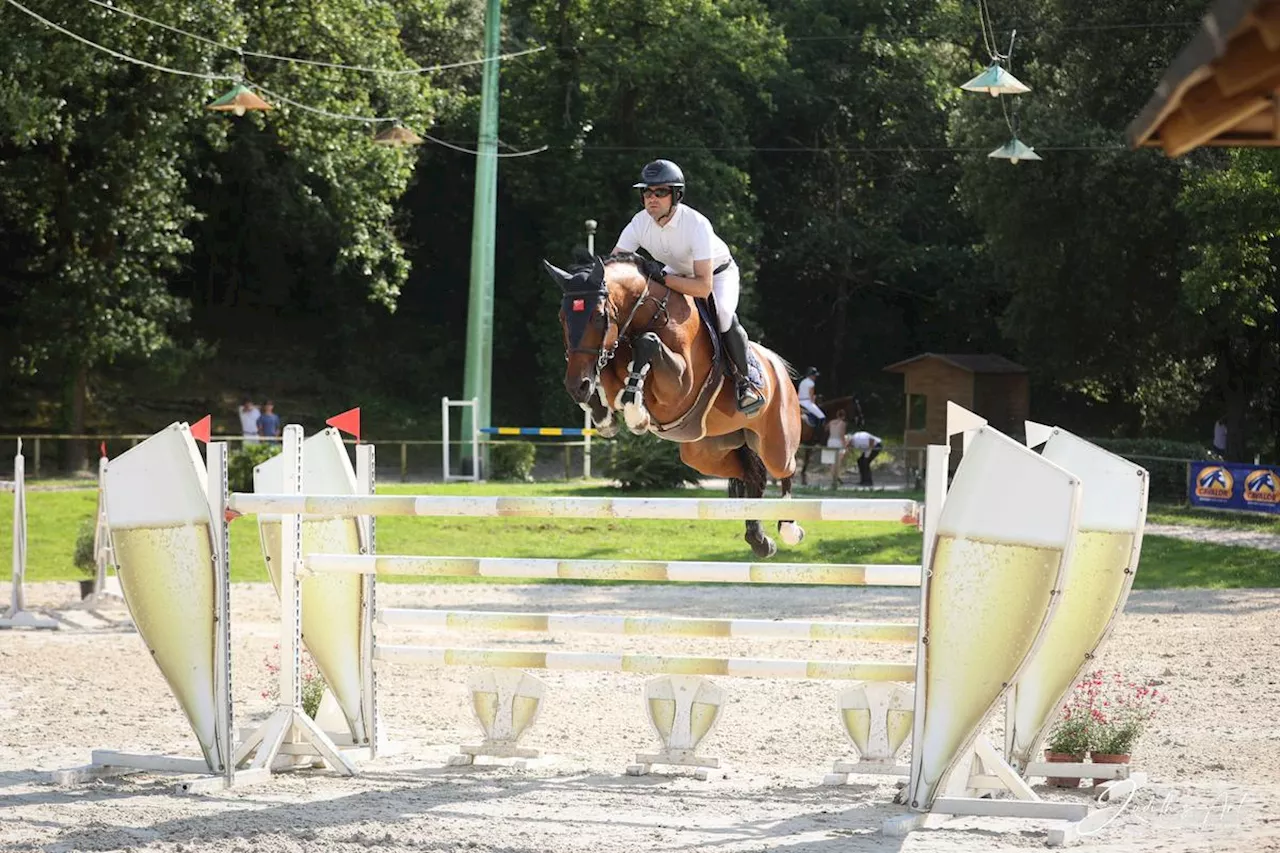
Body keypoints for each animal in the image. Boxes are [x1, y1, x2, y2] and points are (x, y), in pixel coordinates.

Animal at [545, 252, 803, 558]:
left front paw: (636, 413)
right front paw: (603, 412)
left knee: (785, 469)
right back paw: (759, 540)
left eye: (598, 316)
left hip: (776, 441)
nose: (576, 386)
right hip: (705, 452)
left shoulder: (681, 386)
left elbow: (649, 344)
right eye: (562, 317)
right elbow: (610, 372)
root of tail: (778, 367)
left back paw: (789, 529)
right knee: (751, 475)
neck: (648, 316)